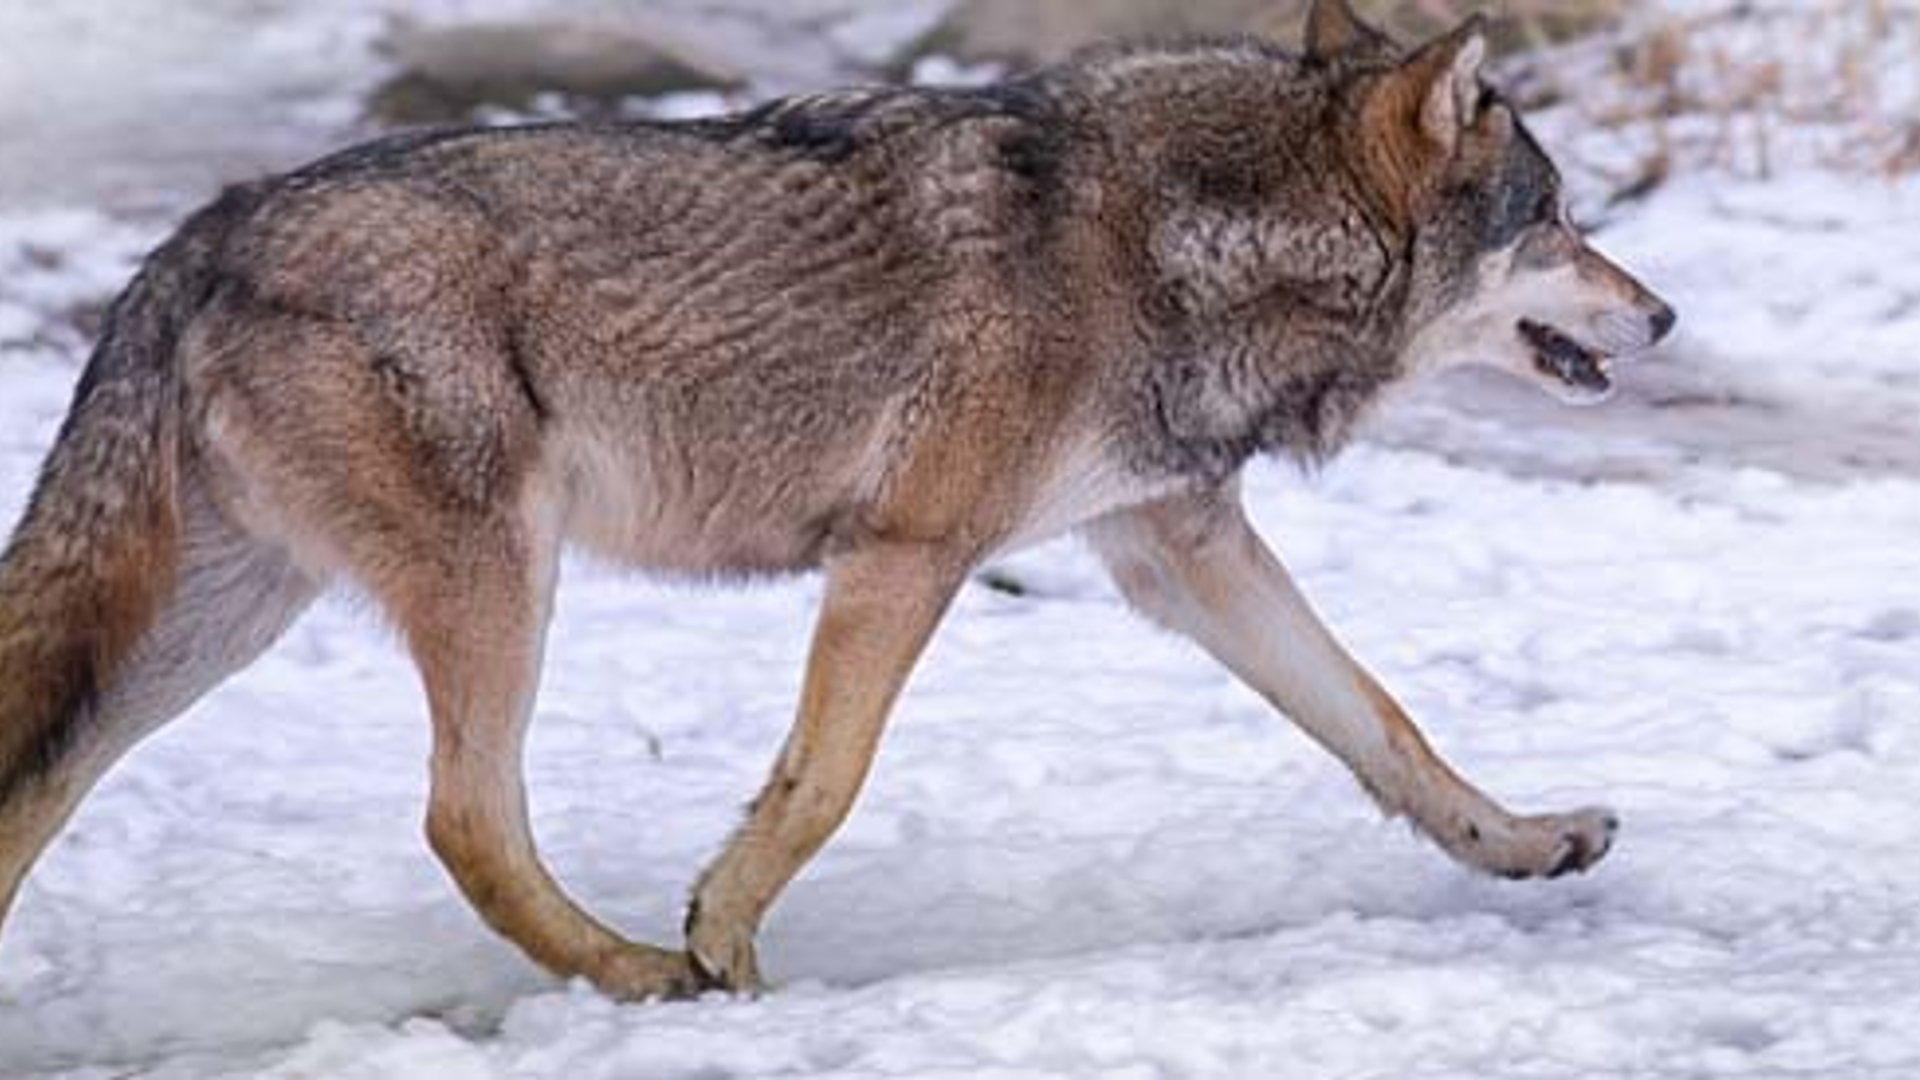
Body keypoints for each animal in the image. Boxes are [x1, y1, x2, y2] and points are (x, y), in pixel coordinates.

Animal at [0, 0, 1673, 1000]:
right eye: (1559, 218)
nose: (1661, 316)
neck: (1194, 240)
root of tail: (204, 233)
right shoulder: (906, 555)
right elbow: (823, 782)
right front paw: (725, 943)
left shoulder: (1174, 544)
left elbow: (1384, 723)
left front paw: (1528, 845)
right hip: (494, 587)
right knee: (465, 820)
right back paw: (639, 974)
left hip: (210, 636)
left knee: (44, 786)